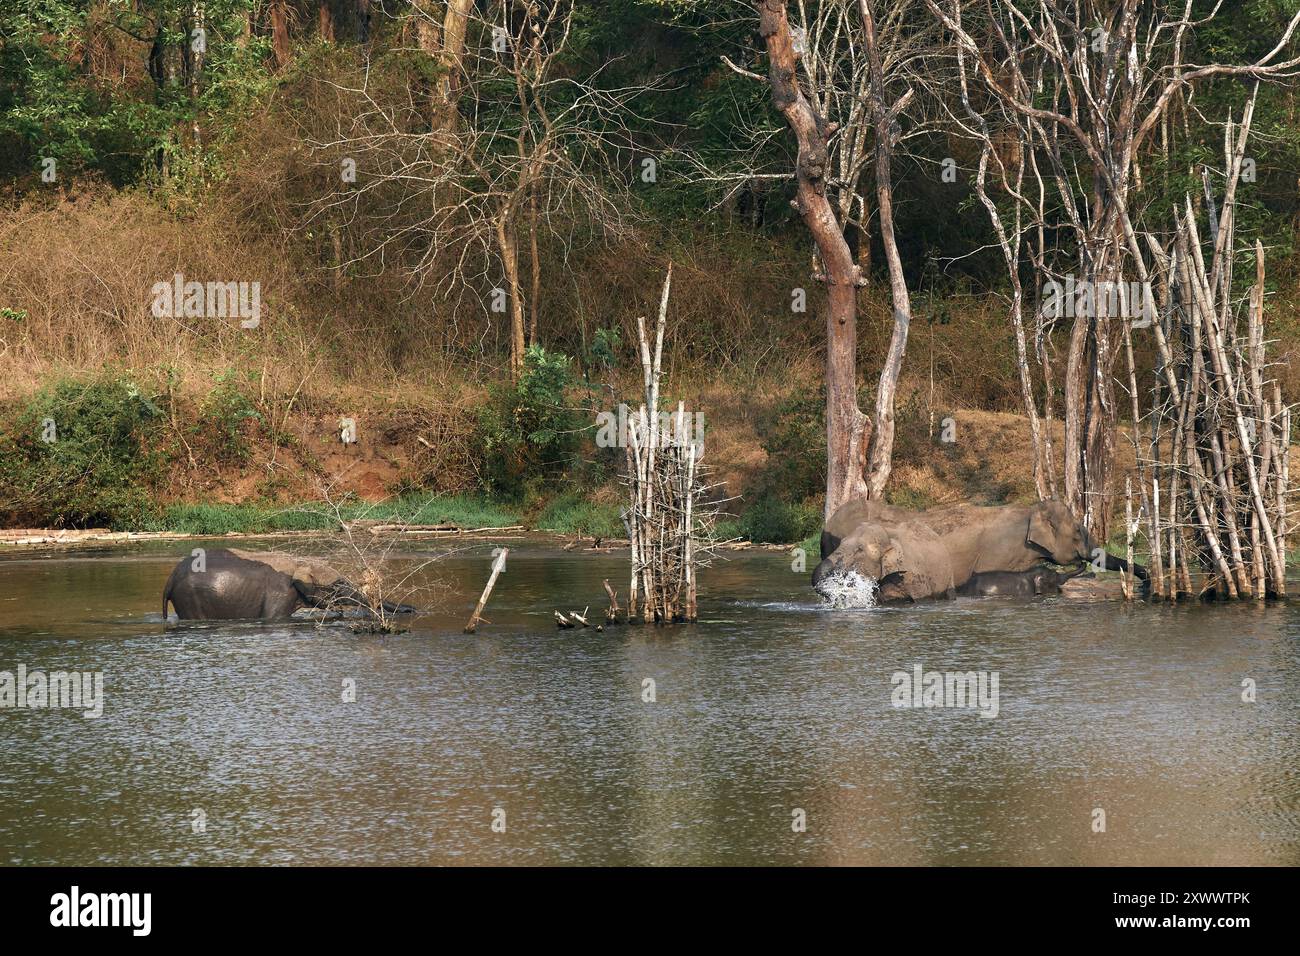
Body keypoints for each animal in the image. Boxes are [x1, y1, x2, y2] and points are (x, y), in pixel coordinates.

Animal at [161, 548, 416, 624]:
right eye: (339, 585)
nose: (411, 610)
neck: (299, 563)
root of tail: (169, 580)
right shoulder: (280, 593)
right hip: (190, 598)